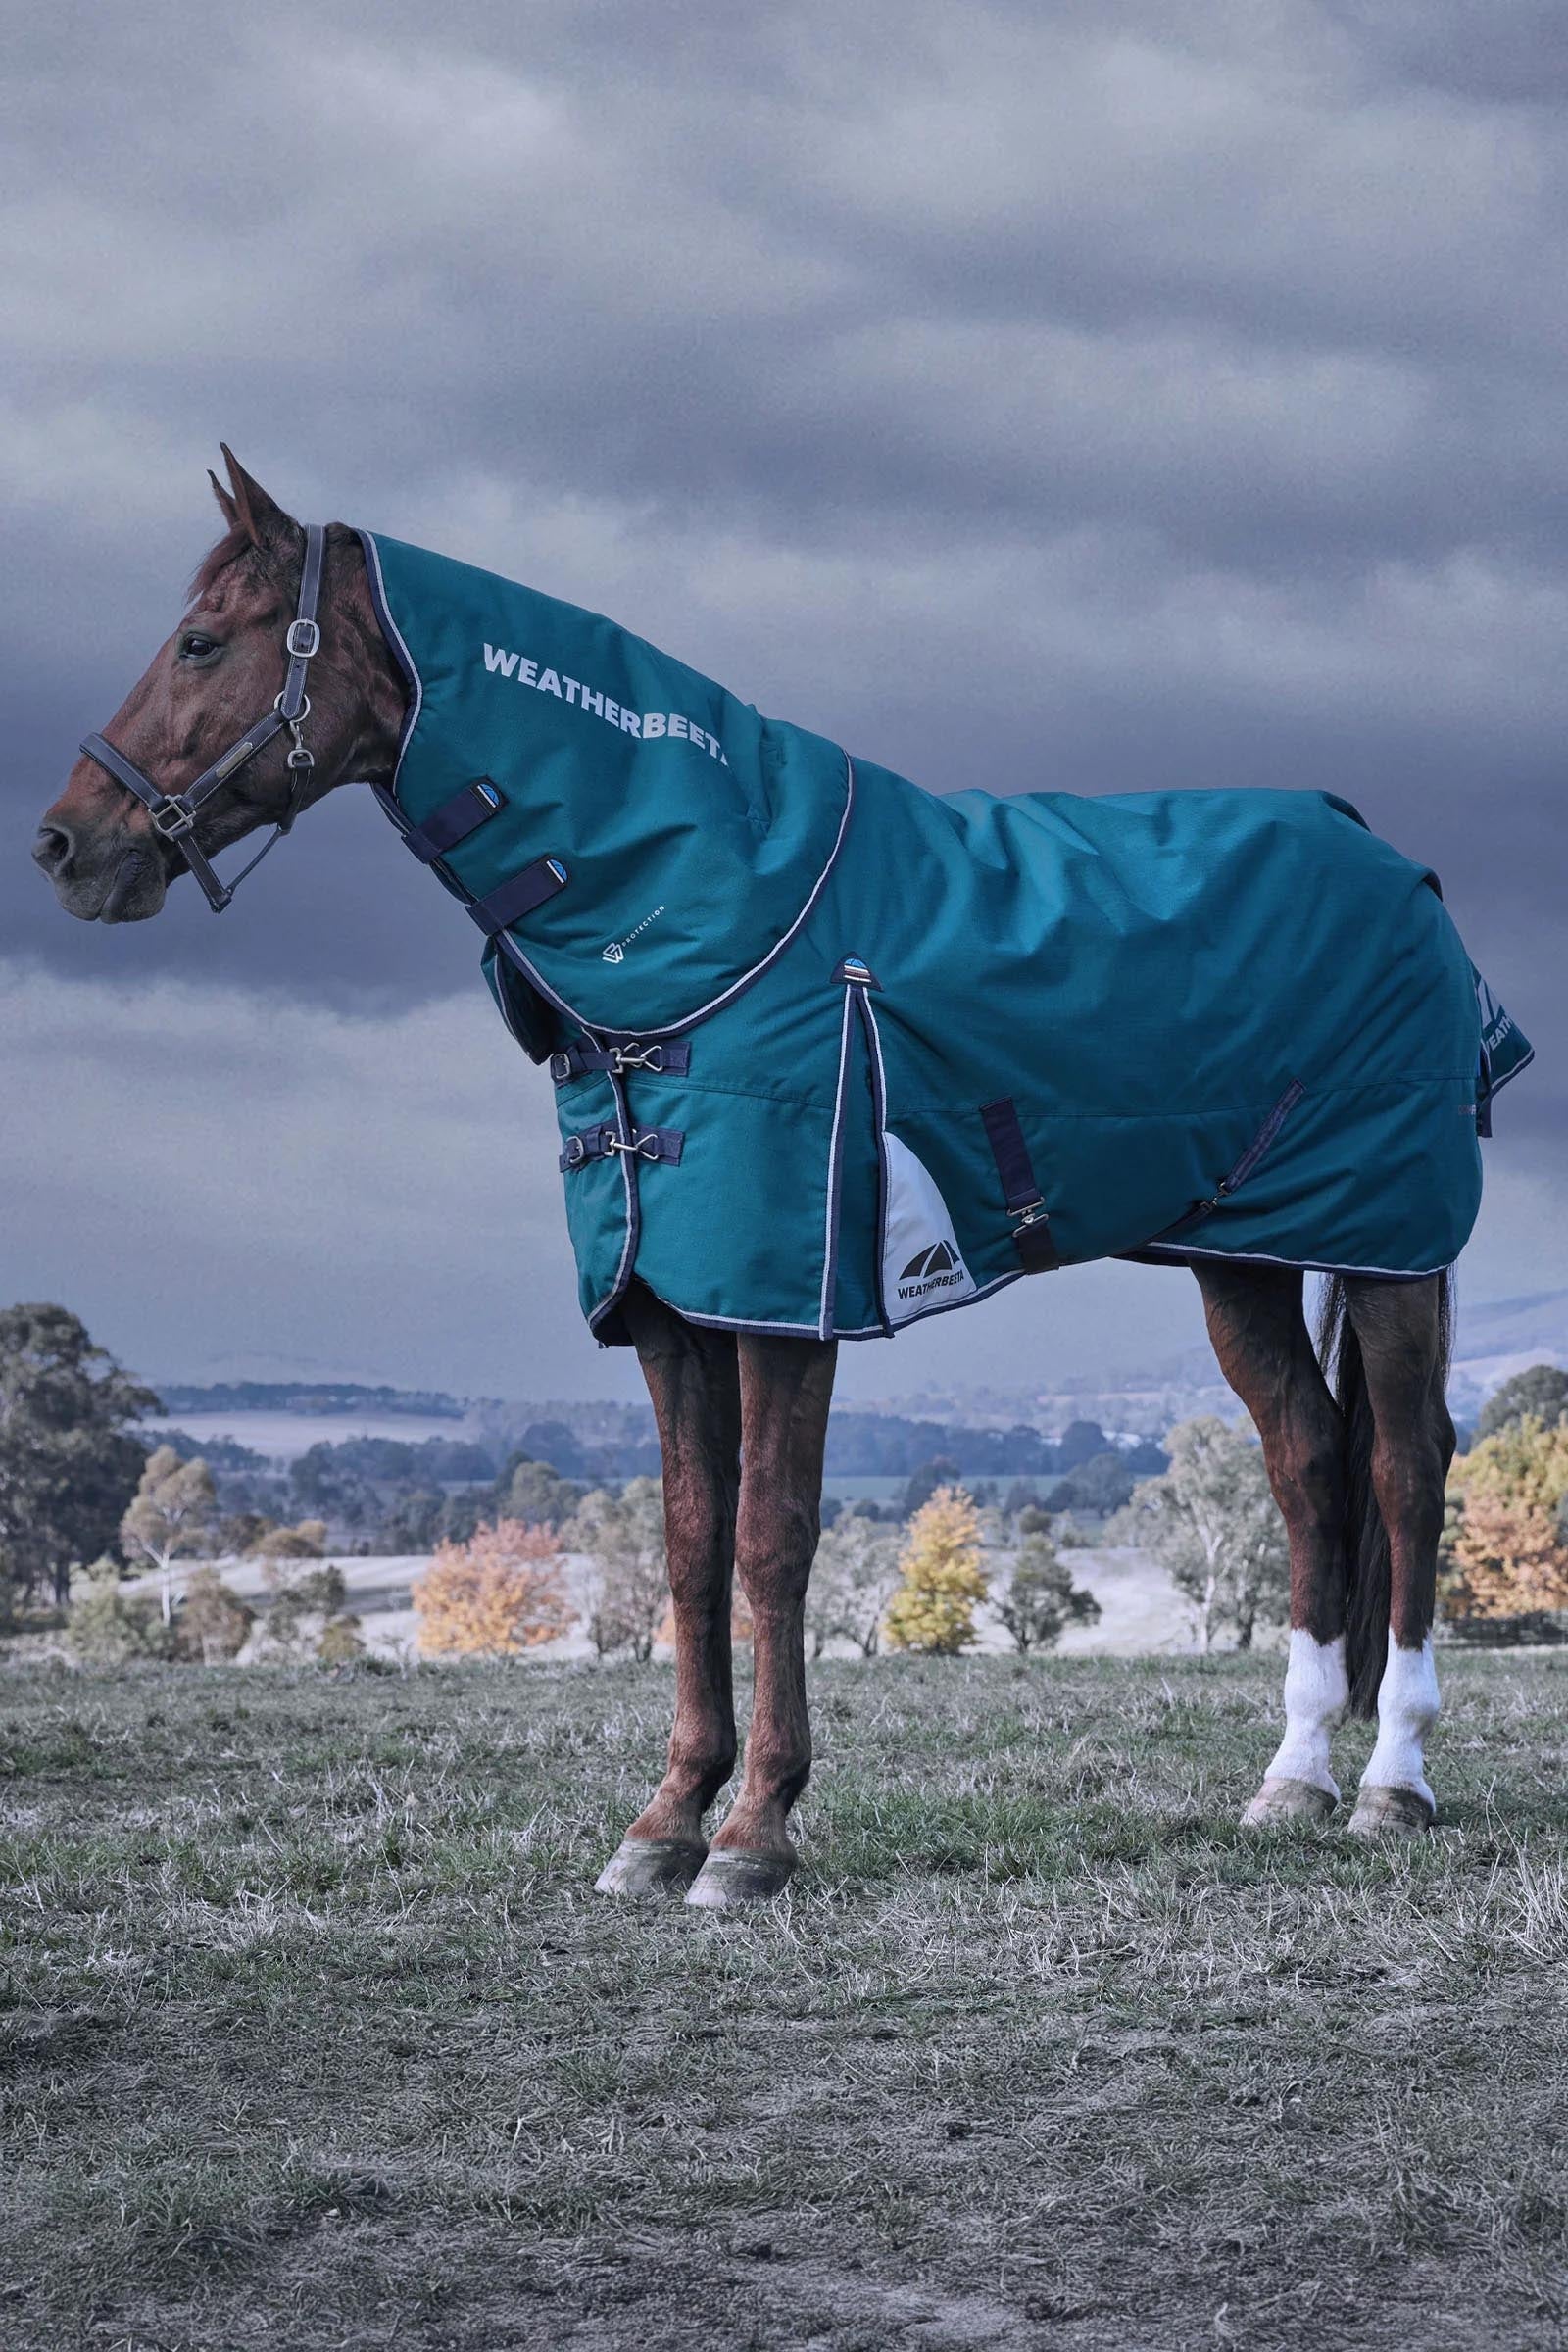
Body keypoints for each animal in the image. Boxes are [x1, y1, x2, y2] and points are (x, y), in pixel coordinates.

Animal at [35, 449, 1486, 1904]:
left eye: (202, 639)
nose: (63, 846)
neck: (715, 912)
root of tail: (1390, 862)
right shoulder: (667, 1310)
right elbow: (689, 1548)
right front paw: (666, 1818)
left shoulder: (784, 1304)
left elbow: (771, 1543)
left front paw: (753, 1834)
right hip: (1241, 1262)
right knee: (1307, 1464)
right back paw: (1291, 1779)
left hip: (1393, 1249)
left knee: (1405, 1469)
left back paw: (1389, 1783)